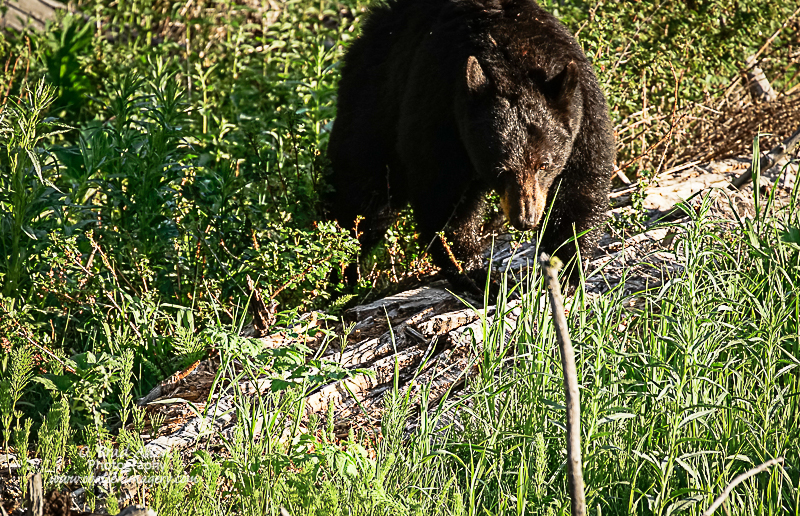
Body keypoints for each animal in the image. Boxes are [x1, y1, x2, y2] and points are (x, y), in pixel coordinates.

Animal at [324, 0, 612, 290]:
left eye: (544, 164)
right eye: (500, 170)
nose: (525, 219)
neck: (512, 57)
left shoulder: (584, 114)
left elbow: (581, 185)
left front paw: (567, 269)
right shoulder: (441, 107)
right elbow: (443, 193)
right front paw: (476, 274)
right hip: (374, 104)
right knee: (361, 194)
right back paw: (341, 275)